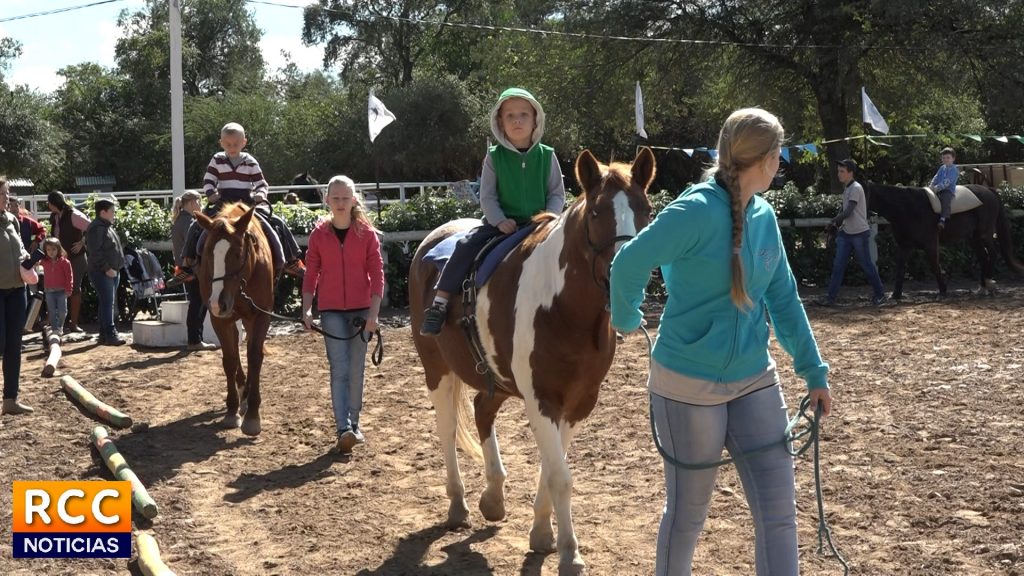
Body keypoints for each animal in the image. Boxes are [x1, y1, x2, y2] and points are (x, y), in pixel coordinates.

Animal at [194, 203, 275, 436]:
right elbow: (229, 360)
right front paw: (232, 411)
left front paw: (253, 415)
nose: (217, 302)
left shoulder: (262, 315)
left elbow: (255, 357)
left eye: (238, 253)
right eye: (208, 253)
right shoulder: (219, 319)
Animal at [409, 148, 656, 575]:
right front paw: (570, 553)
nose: (626, 277)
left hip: (495, 380)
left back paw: (493, 498)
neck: (563, 309)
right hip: (437, 370)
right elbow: (560, 477)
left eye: (646, 210)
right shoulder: (542, 399)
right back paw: (458, 504)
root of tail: (432, 241)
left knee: (482, 409)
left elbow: (551, 471)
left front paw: (542, 534)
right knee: (447, 430)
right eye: (596, 212)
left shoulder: (577, 404)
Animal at [865, 182, 1024, 299]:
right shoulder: (904, 246)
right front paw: (895, 295)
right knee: (984, 258)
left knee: (993, 253)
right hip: (974, 238)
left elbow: (935, 266)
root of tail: (989, 190)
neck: (908, 208)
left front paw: (943, 290)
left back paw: (989, 283)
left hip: (984, 234)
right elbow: (900, 269)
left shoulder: (930, 244)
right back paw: (982, 287)